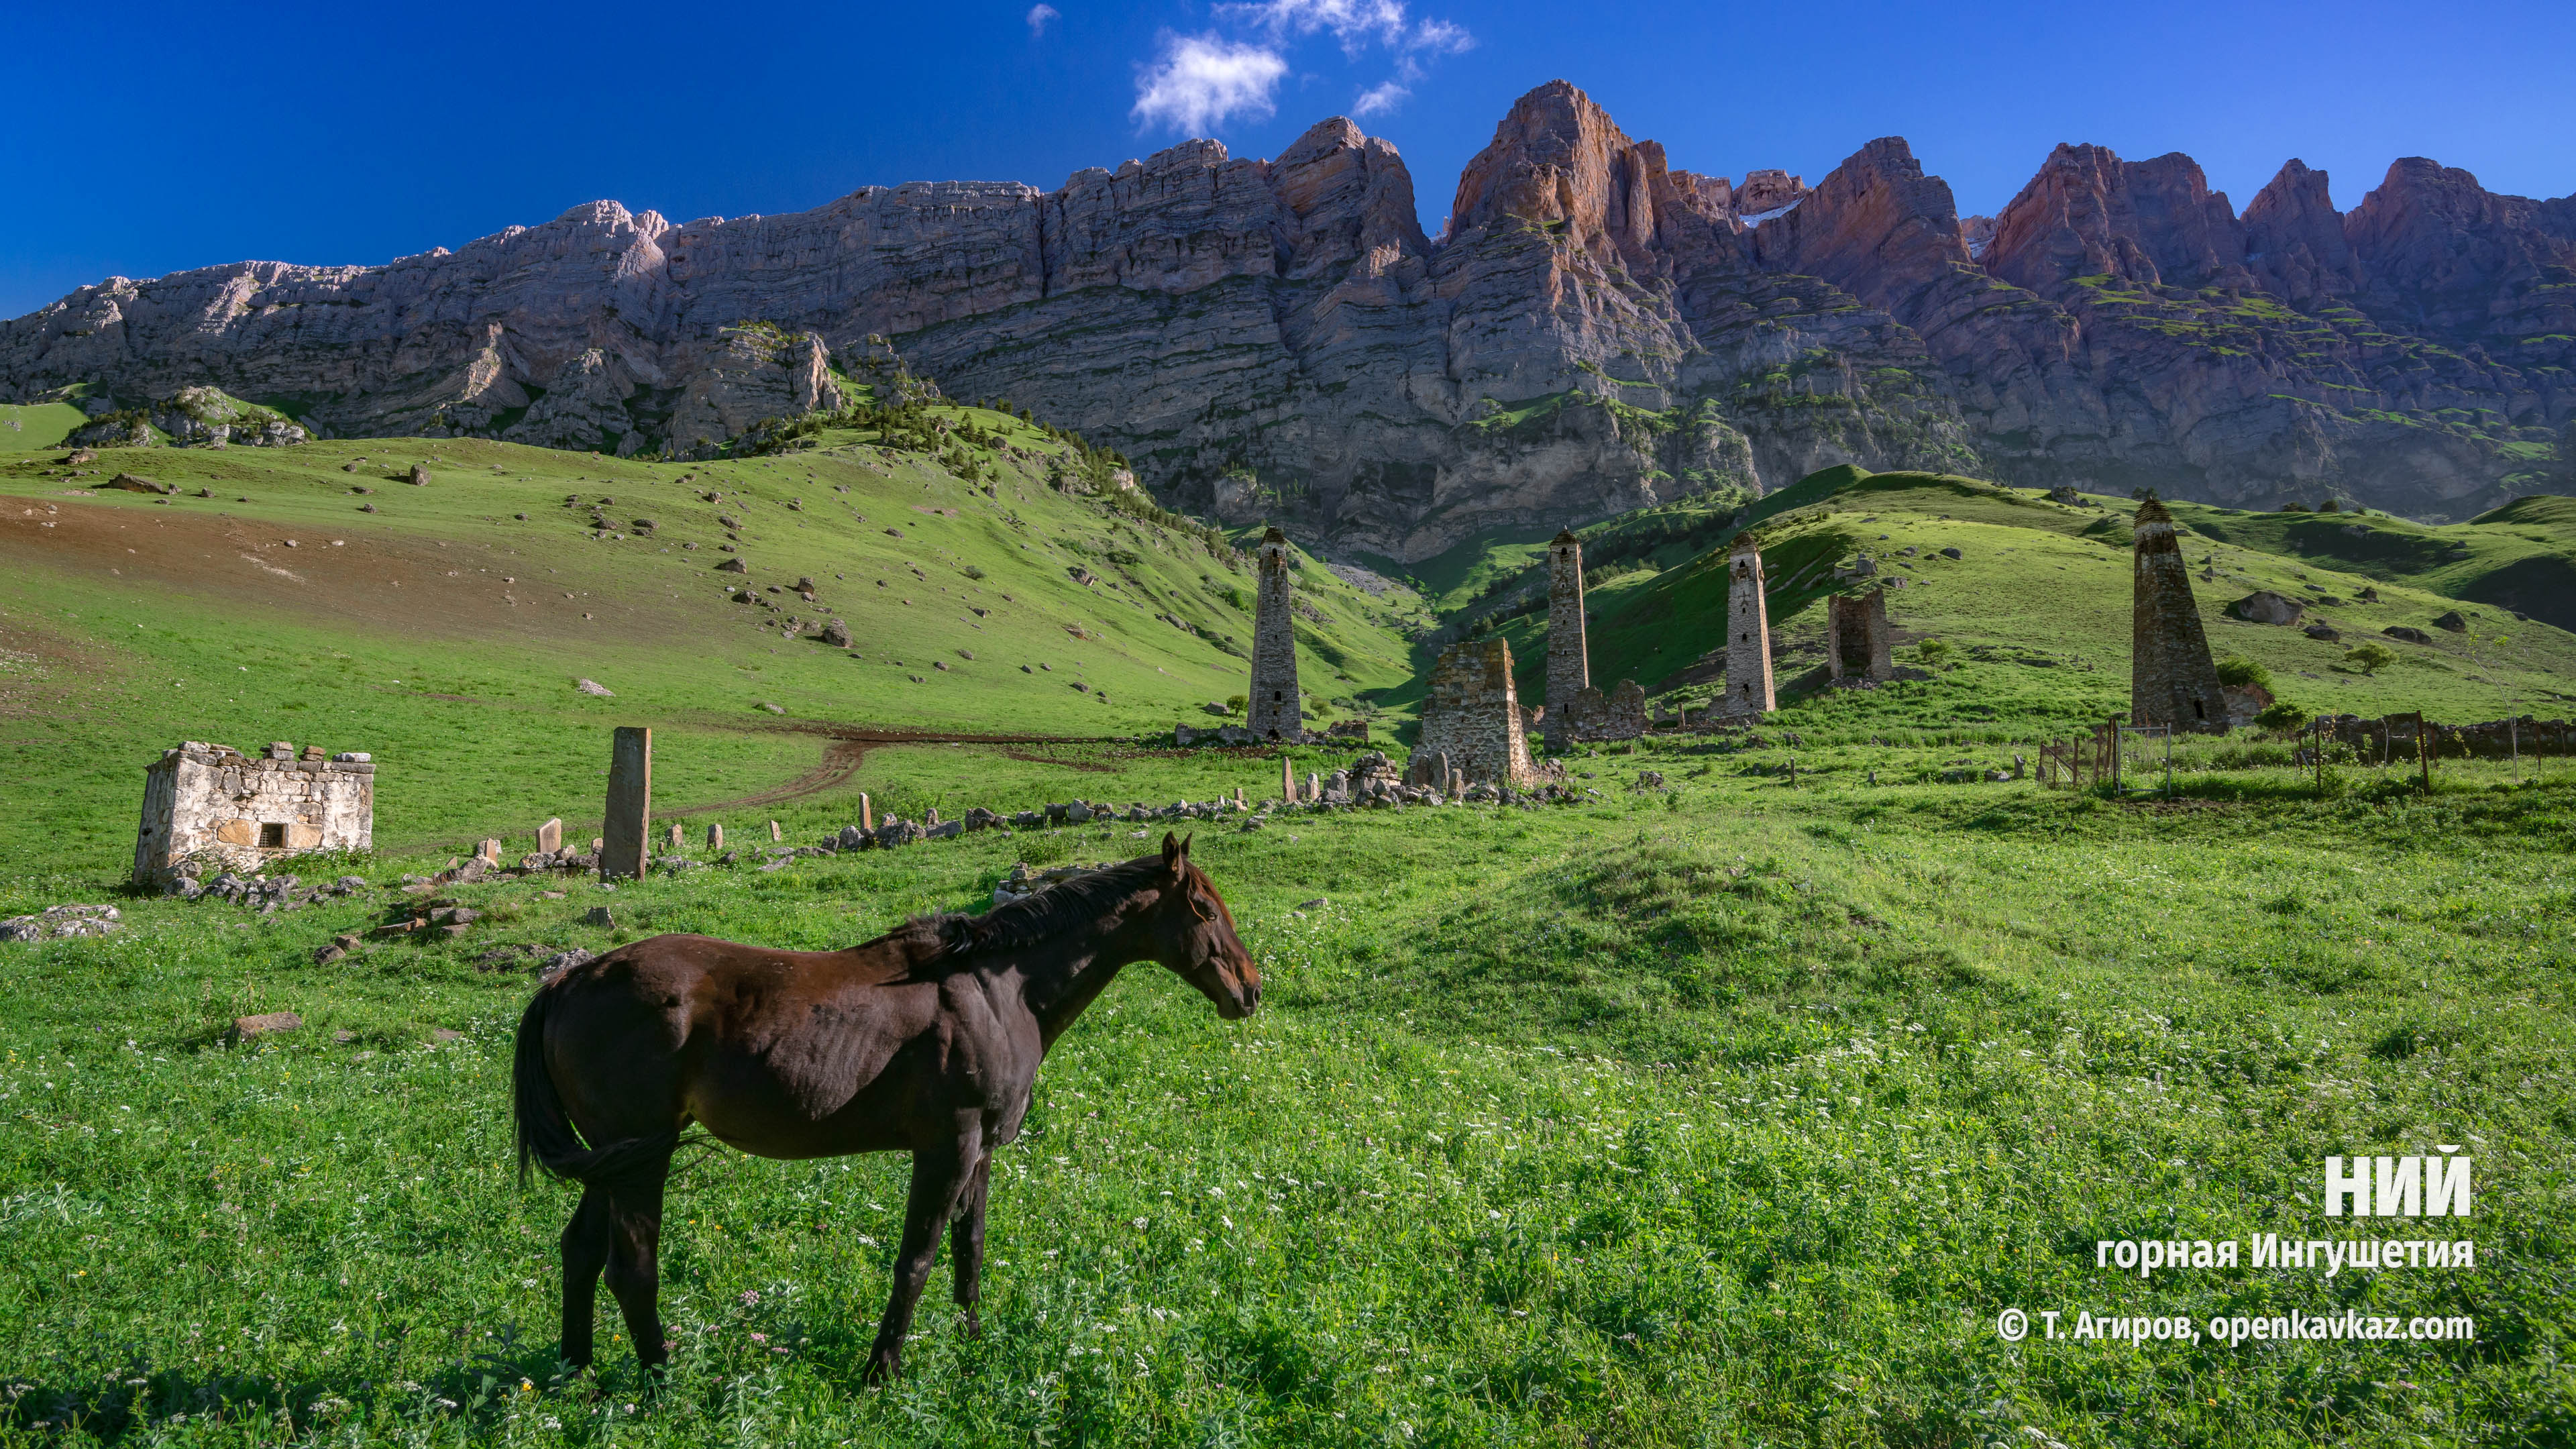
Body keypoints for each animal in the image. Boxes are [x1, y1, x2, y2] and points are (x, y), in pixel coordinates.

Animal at [507, 830, 1252, 1371]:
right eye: (1204, 910)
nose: (1251, 988)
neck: (996, 992)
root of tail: (571, 980)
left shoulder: (981, 1151)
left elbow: (969, 1249)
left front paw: (971, 1344)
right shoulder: (947, 1147)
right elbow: (916, 1258)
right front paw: (881, 1370)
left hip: (611, 1163)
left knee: (579, 1252)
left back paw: (578, 1373)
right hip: (640, 1163)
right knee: (631, 1270)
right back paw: (661, 1382)